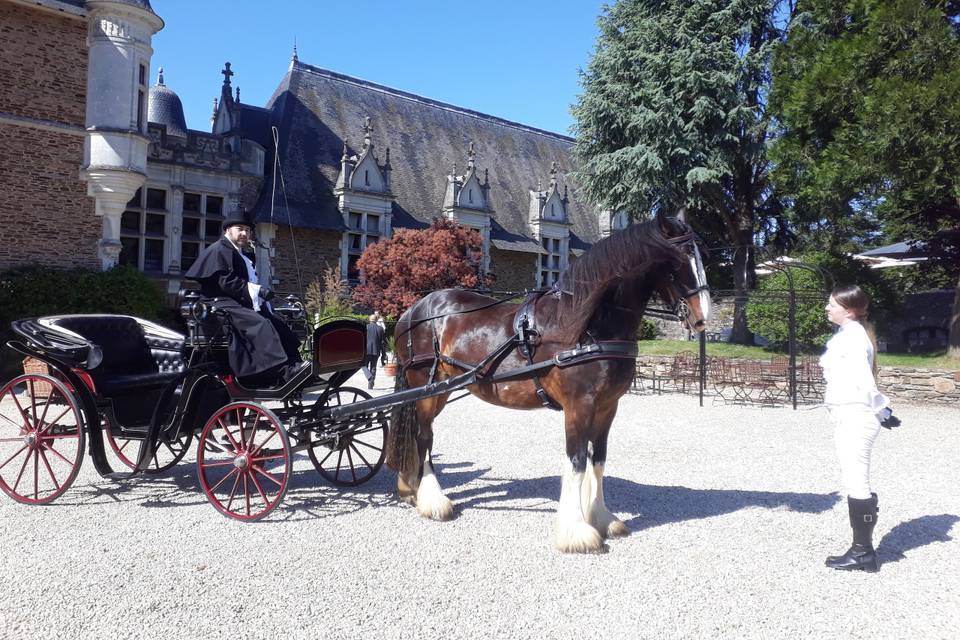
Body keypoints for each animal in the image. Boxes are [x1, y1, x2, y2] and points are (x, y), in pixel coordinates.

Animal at [386, 212, 708, 552]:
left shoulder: (608, 407)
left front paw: (602, 517)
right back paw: (434, 500)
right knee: (424, 436)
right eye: (677, 262)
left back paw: (410, 488)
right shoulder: (579, 406)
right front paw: (576, 531)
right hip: (427, 388)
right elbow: (577, 461)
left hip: (439, 390)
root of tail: (414, 310)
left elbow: (598, 461)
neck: (586, 326)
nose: (703, 318)